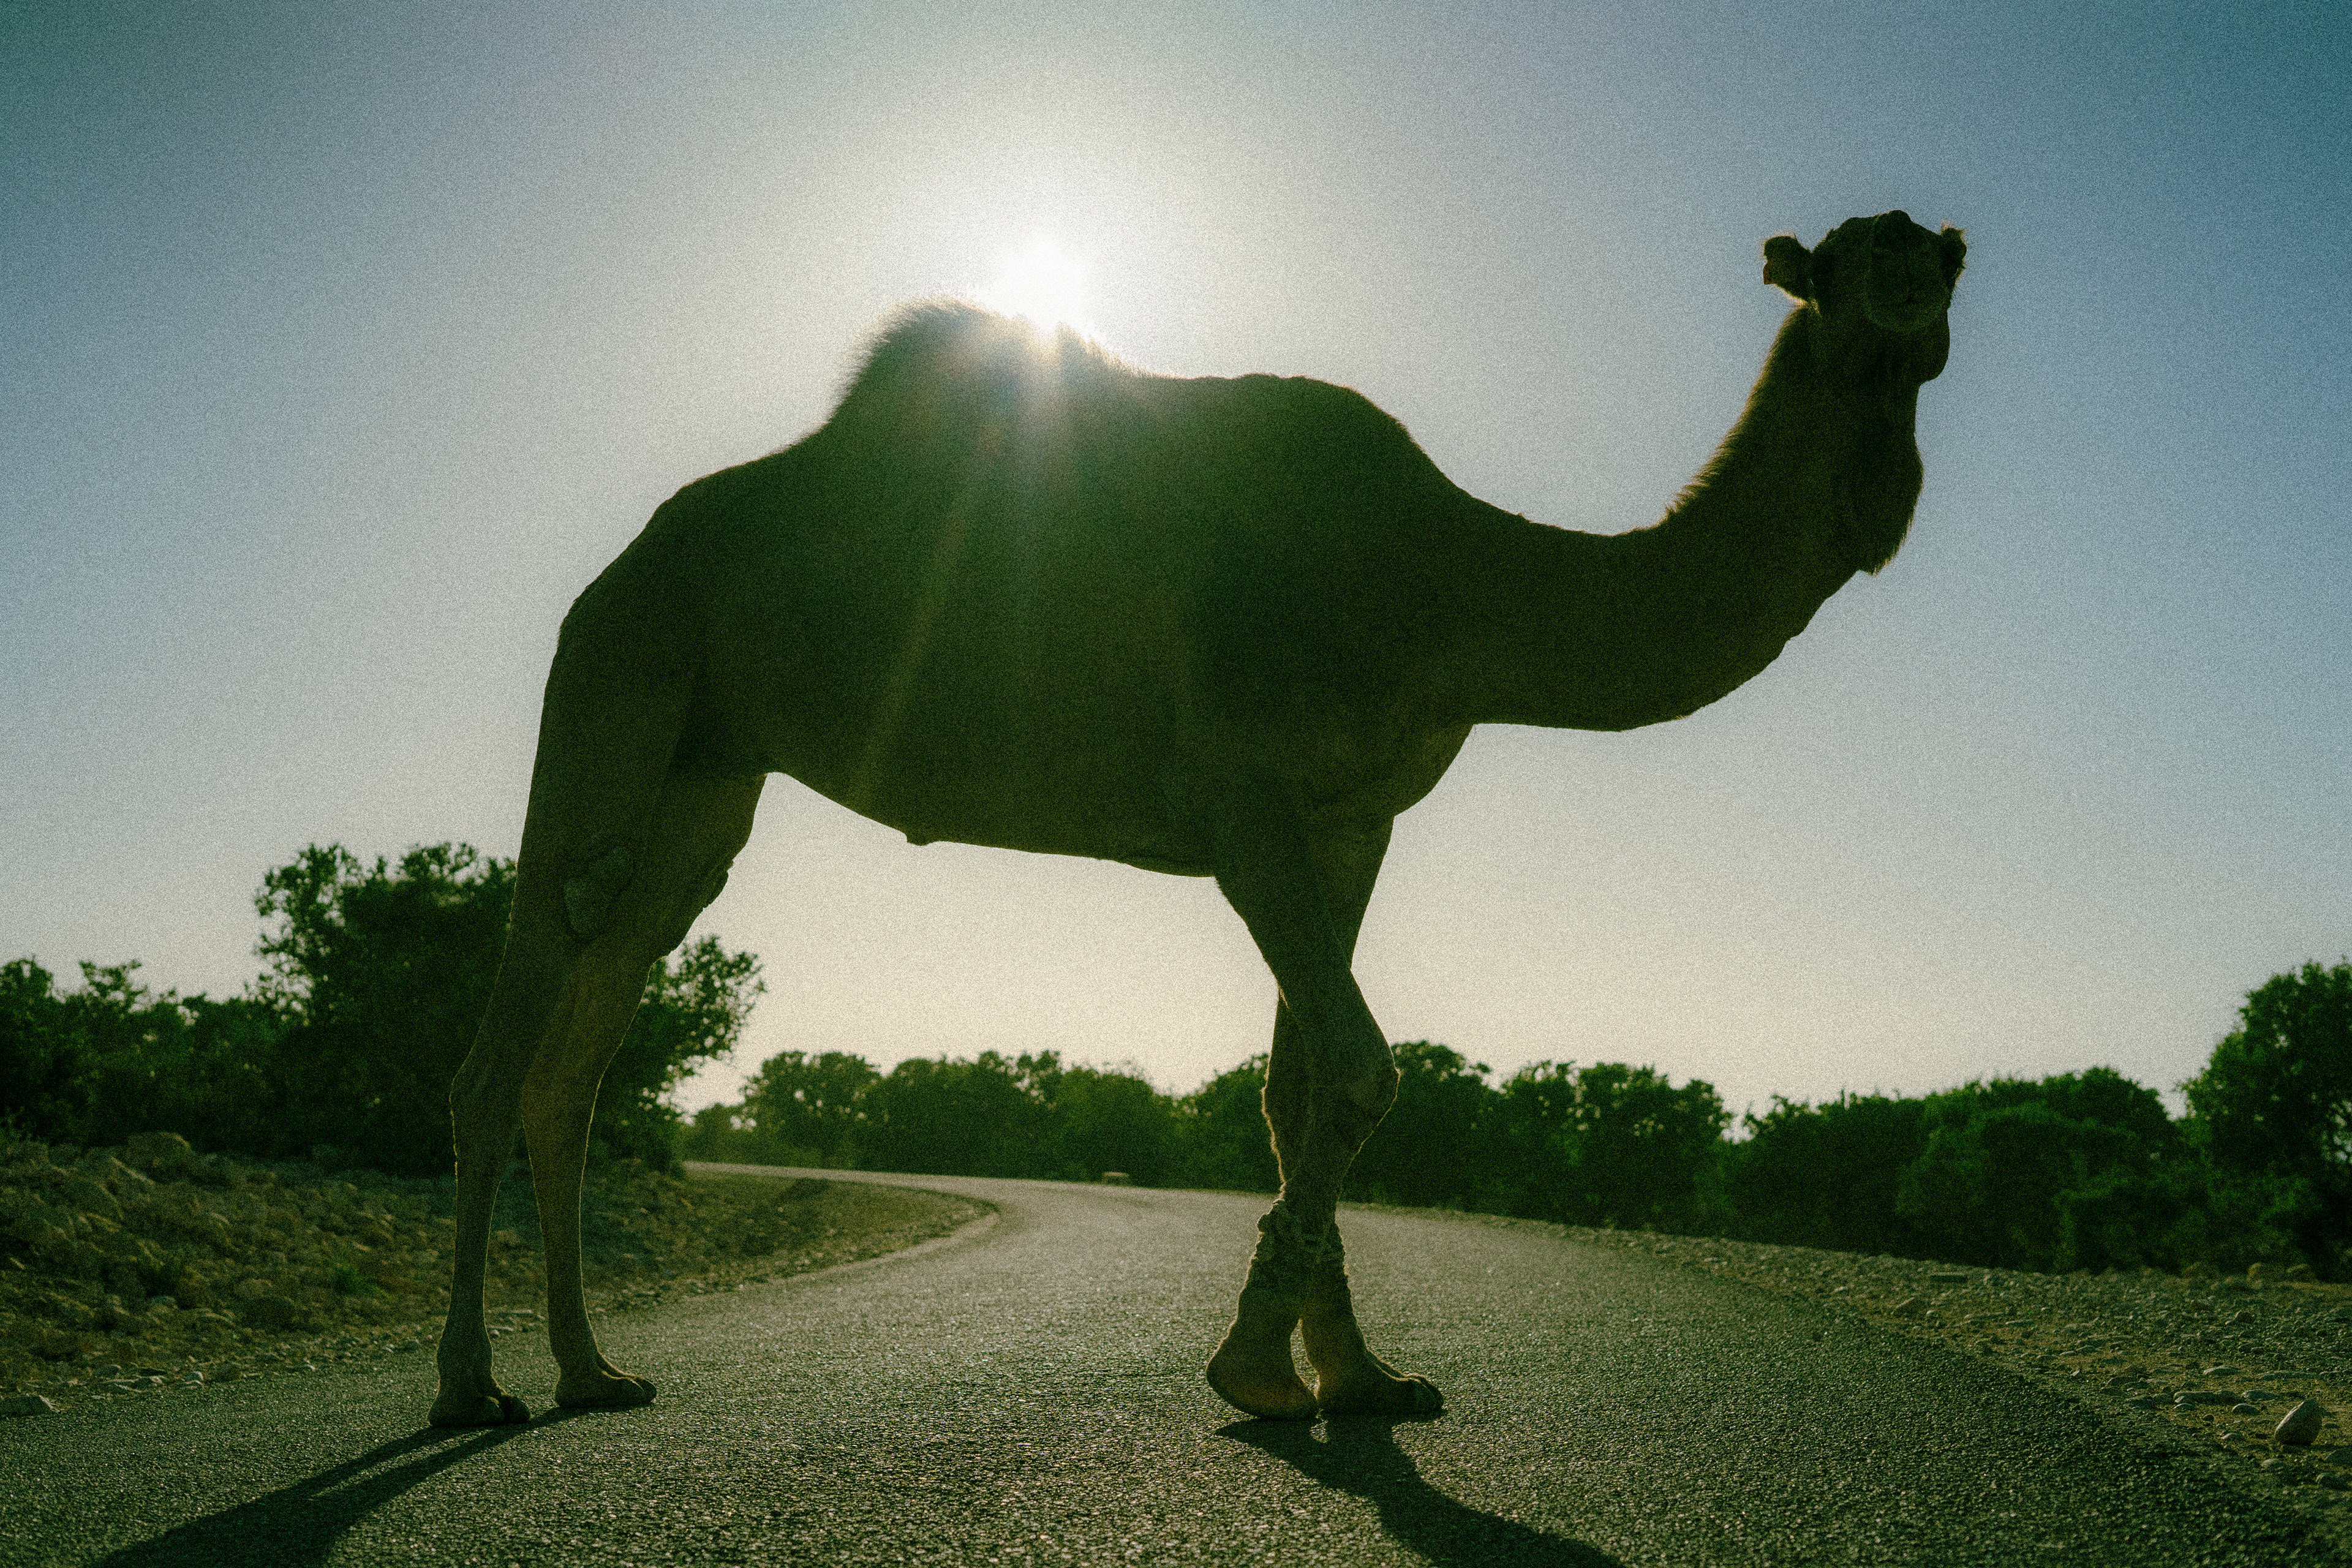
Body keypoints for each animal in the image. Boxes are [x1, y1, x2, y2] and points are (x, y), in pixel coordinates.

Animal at [430, 209, 1966, 1427]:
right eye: (1842, 261)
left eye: (1939, 254)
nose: (1915, 263)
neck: (1451, 584)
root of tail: (624, 561)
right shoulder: (1242, 798)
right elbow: (1361, 1070)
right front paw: (1256, 1364)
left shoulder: (1352, 820)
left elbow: (1301, 1086)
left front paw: (1355, 1376)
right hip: (617, 677)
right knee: (506, 1032)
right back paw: (471, 1384)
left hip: (711, 769)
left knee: (584, 1035)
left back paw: (592, 1369)